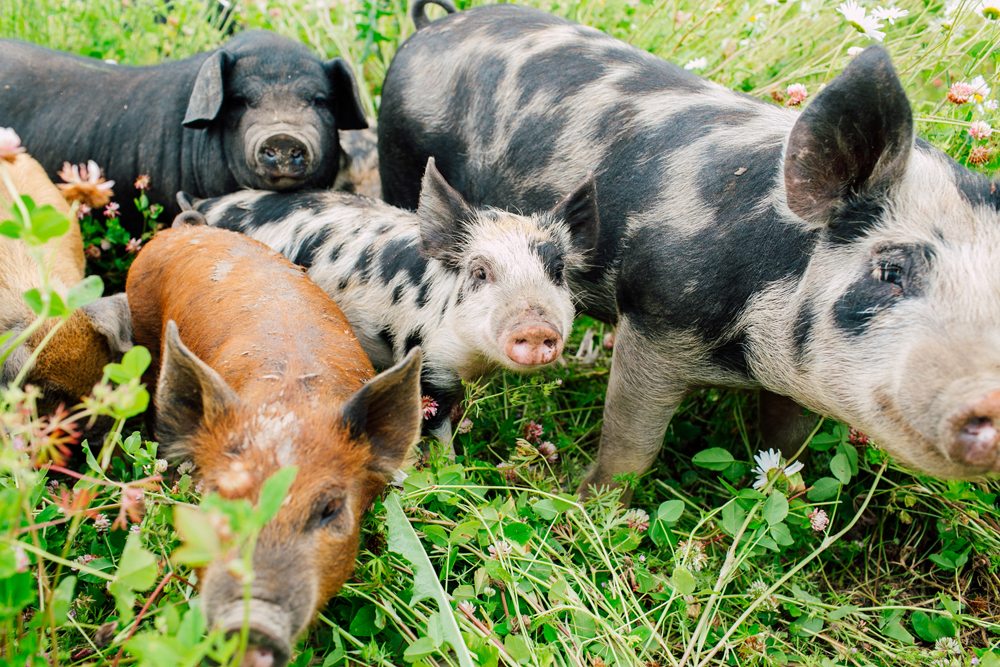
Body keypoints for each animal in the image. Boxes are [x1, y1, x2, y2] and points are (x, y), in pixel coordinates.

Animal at [189, 158, 592, 444]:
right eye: (480, 272)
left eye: (557, 270)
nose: (535, 326)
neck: (475, 361)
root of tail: (205, 204)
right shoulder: (426, 361)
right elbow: (435, 430)